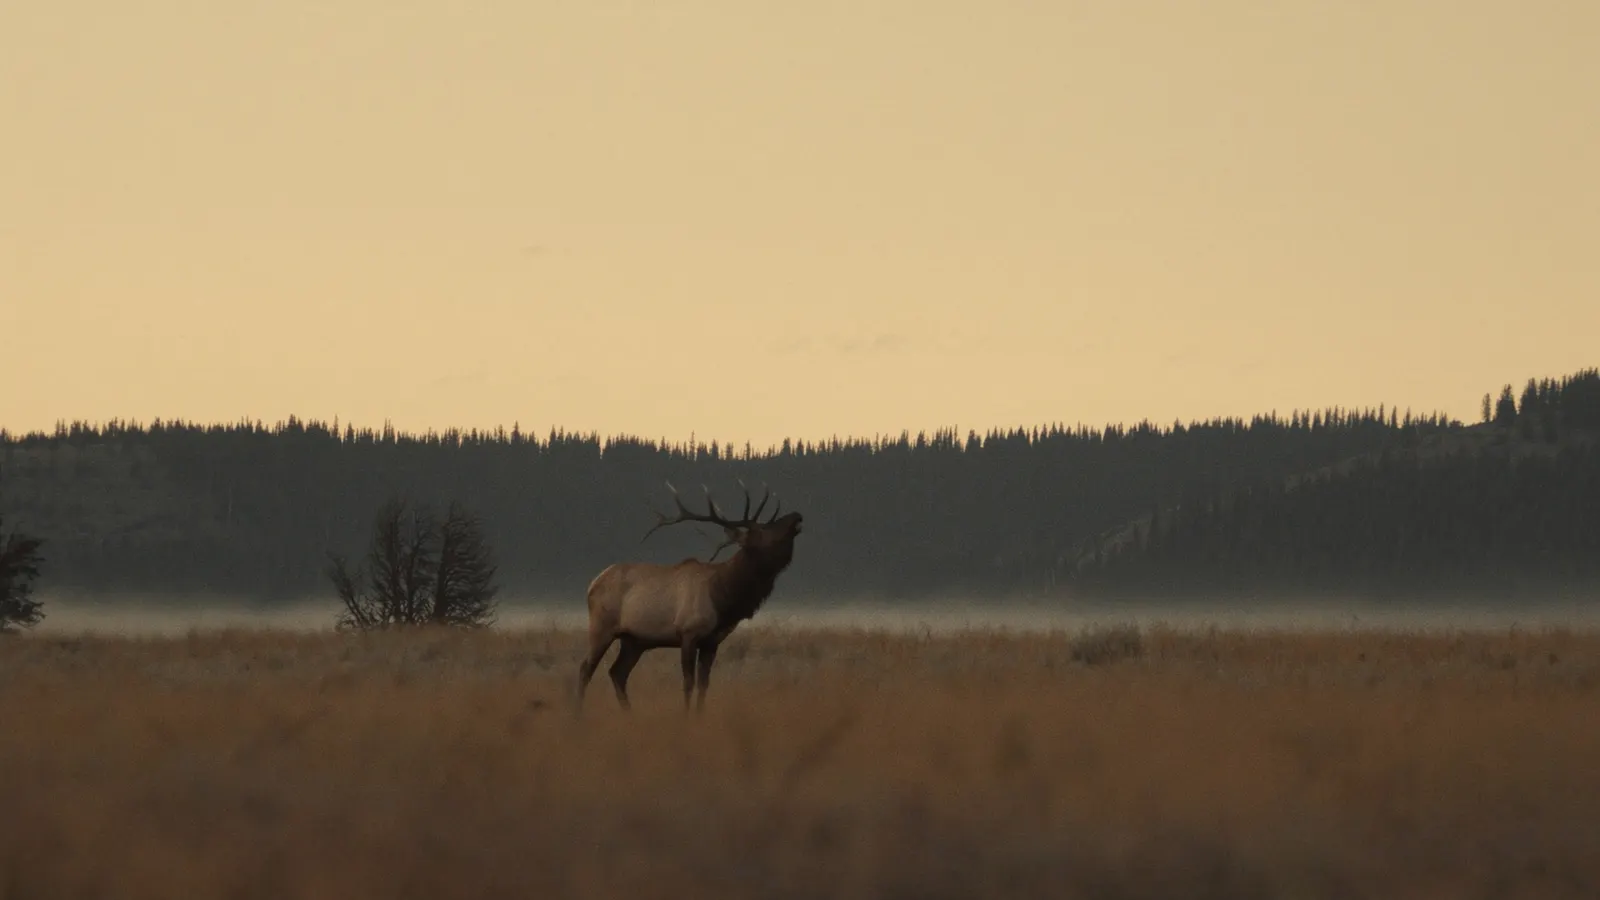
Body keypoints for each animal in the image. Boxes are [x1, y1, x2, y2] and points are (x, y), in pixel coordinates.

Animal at [575, 480, 804, 713]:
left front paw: (699, 715)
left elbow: (704, 684)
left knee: (617, 673)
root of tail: (592, 584)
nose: (796, 515)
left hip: (634, 641)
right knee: (585, 669)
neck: (724, 599)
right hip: (602, 627)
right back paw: (578, 715)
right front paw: (685, 716)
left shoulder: (712, 641)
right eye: (765, 530)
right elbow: (688, 682)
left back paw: (629, 713)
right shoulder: (688, 632)